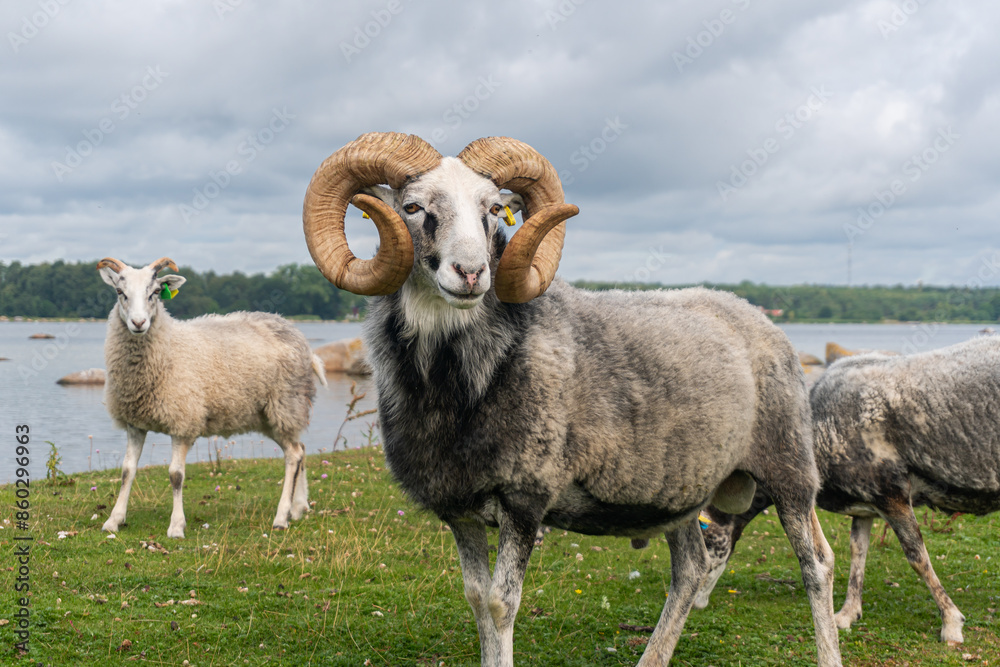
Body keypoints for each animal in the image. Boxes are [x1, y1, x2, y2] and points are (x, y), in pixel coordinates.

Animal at [97, 257, 327, 539]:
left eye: (155, 293)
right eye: (120, 292)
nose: (138, 323)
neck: (167, 346)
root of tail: (295, 331)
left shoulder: (183, 421)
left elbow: (175, 475)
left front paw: (176, 526)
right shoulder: (135, 422)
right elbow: (127, 471)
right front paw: (113, 520)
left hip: (286, 403)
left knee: (293, 455)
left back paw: (282, 517)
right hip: (269, 415)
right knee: (299, 449)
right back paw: (298, 507)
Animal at [300, 132, 842, 666]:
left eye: (493, 209)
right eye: (412, 207)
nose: (471, 273)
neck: (464, 380)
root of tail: (752, 312)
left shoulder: (525, 497)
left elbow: (500, 604)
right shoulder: (458, 506)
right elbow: (475, 598)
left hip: (789, 468)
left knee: (817, 563)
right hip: (680, 489)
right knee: (691, 567)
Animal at [693, 335, 1000, 644]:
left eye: (705, 533)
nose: (693, 604)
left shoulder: (891, 493)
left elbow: (916, 556)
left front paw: (951, 622)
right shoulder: (865, 502)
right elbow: (858, 551)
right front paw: (847, 614)